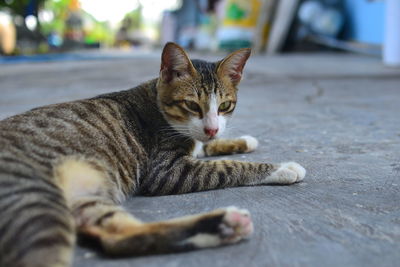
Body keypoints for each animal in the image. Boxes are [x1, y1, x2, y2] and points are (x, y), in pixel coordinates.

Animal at [0, 42, 304, 267]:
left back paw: (222, 226)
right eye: (192, 105)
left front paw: (241, 140)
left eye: (225, 105)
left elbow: (205, 145)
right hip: (34, 198)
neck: (159, 105)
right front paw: (282, 168)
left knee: (116, 239)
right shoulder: (166, 171)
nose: (212, 128)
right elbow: (226, 167)